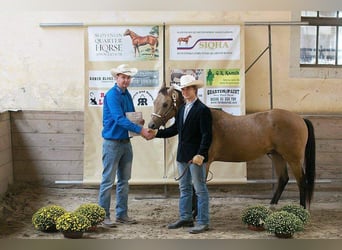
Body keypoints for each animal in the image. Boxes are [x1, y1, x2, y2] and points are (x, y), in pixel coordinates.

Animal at [148, 86, 316, 213]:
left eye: (165, 104)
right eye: (155, 101)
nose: (151, 125)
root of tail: (300, 118)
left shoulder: (203, 162)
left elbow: (198, 186)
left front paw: (195, 213)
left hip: (293, 158)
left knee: (302, 181)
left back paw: (302, 211)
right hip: (276, 155)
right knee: (283, 179)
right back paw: (271, 206)